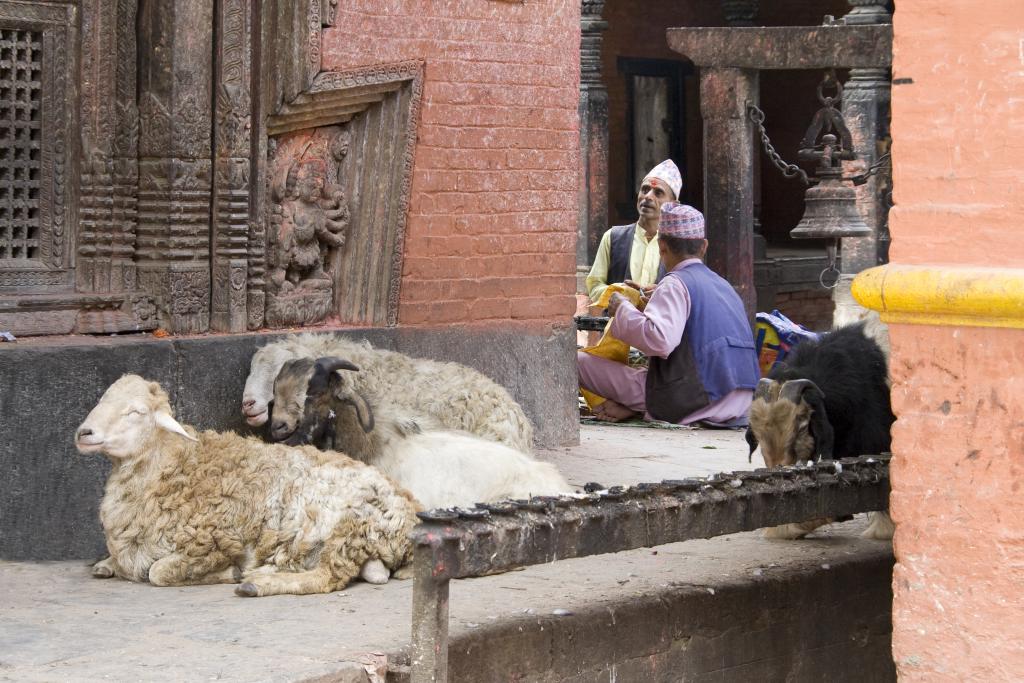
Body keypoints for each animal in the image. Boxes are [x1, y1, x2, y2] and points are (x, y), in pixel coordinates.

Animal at [74, 376, 419, 593]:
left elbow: (158, 572)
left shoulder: (215, 542)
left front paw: (228, 572)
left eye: (136, 411)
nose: (84, 433)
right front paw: (105, 564)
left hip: (347, 525)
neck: (173, 467)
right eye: (103, 399)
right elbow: (108, 565)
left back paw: (256, 583)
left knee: (327, 577)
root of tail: (408, 513)